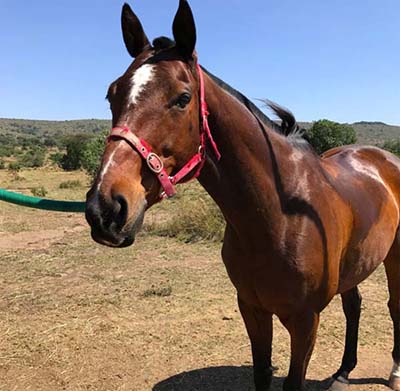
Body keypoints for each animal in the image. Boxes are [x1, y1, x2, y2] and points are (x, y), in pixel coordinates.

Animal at [85, 1, 400, 390]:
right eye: (112, 94)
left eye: (182, 98)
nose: (105, 207)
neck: (278, 217)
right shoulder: (252, 309)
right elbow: (262, 373)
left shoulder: (305, 321)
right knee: (354, 305)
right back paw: (343, 371)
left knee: (394, 306)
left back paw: (394, 371)